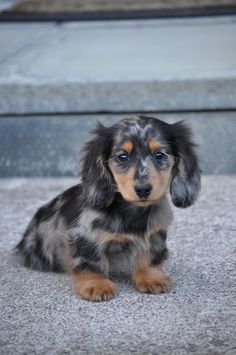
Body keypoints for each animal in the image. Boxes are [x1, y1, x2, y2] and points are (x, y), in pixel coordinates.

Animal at [16, 117, 201, 304]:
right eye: (122, 157)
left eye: (159, 155)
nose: (143, 189)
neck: (133, 212)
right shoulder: (86, 236)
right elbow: (92, 261)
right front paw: (96, 285)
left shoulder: (155, 233)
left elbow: (151, 256)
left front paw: (152, 277)